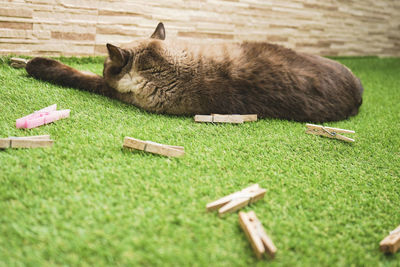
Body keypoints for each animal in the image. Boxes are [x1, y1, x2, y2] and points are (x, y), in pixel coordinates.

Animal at [25, 22, 362, 123]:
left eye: (107, 66)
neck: (164, 65)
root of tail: (359, 95)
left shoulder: (110, 88)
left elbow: (82, 76)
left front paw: (32, 64)